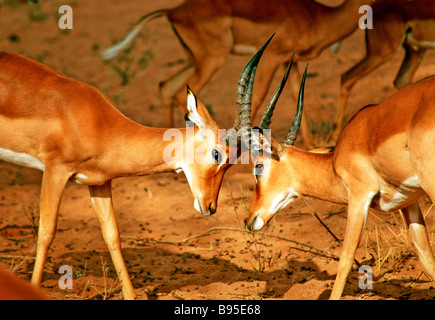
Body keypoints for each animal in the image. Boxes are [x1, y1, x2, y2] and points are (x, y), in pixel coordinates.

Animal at [100, 0, 376, 149]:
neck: (317, 17)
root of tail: (174, 10)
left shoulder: (291, 62)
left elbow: (299, 98)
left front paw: (310, 146)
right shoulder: (271, 58)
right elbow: (261, 98)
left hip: (196, 59)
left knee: (165, 86)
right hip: (212, 60)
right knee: (179, 92)